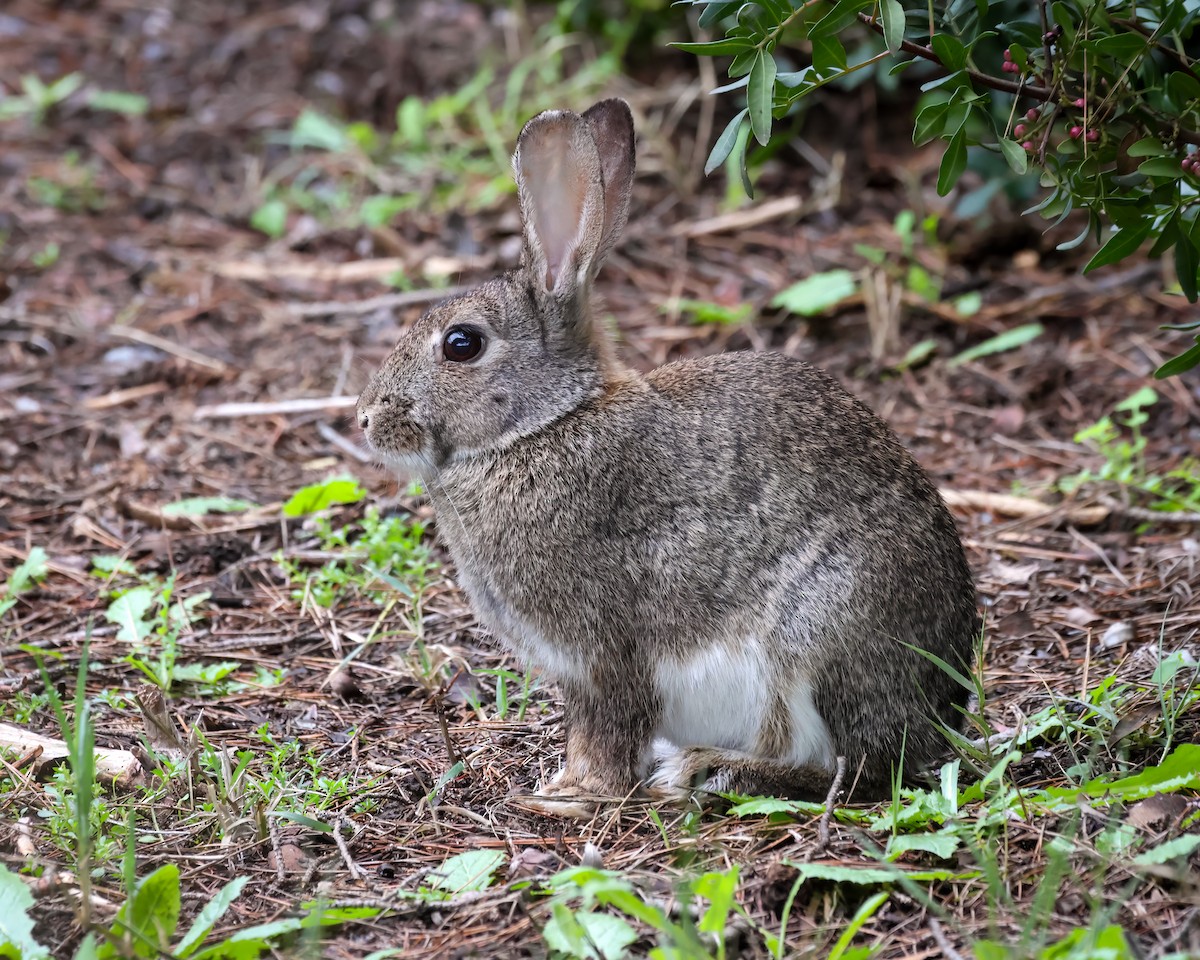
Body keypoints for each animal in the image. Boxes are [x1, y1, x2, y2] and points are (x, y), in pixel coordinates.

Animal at [356, 99, 980, 815]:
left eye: (462, 344)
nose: (366, 419)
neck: (544, 424)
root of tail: (944, 702)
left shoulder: (602, 654)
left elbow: (605, 729)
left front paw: (566, 795)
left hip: (820, 640)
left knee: (858, 772)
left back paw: (711, 772)